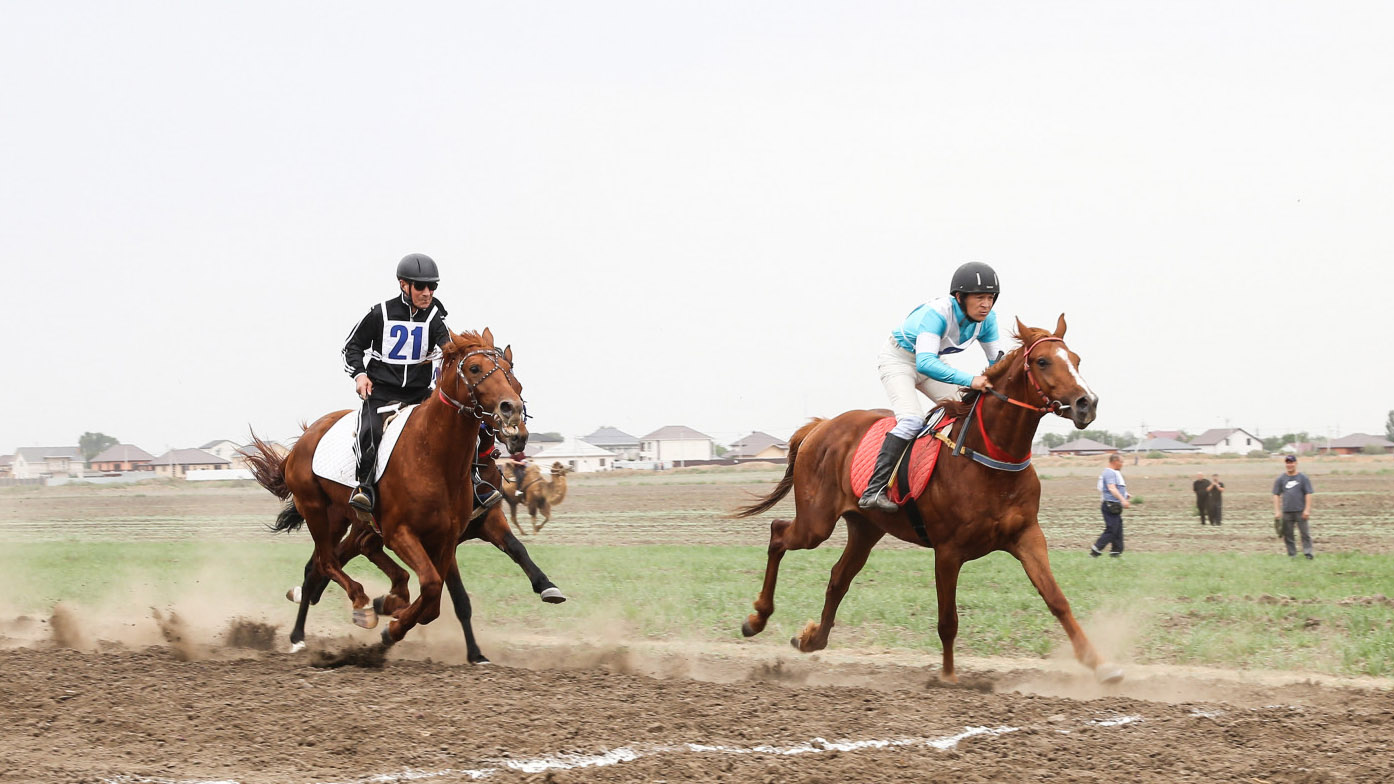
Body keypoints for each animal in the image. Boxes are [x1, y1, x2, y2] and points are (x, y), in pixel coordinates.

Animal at [245, 329, 525, 646]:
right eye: (474, 368)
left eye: (510, 373)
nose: (512, 409)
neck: (435, 456)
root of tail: (301, 442)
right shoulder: (399, 532)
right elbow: (431, 585)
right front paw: (391, 621)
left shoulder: (446, 538)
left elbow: (434, 600)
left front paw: (395, 615)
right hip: (314, 508)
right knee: (326, 561)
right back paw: (356, 605)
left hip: (340, 517)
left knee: (327, 561)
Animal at [733, 316, 1124, 684]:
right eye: (1043, 361)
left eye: (1076, 359)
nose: (1086, 403)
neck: (991, 460)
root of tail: (820, 426)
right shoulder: (948, 551)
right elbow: (947, 620)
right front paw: (948, 677)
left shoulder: (1027, 536)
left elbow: (1056, 599)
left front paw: (1101, 665)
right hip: (816, 522)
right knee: (778, 533)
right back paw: (756, 618)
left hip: (865, 527)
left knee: (838, 577)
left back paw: (812, 639)